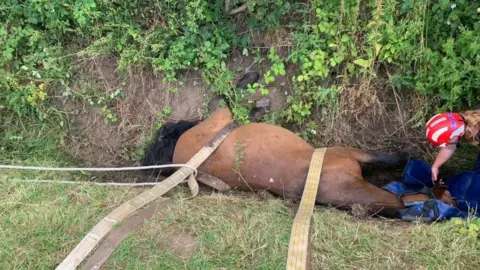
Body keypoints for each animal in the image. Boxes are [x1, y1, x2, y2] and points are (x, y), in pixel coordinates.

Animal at [142, 74, 454, 217]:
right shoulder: (221, 118)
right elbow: (229, 99)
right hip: (351, 163)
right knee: (402, 194)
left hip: (365, 195)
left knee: (401, 201)